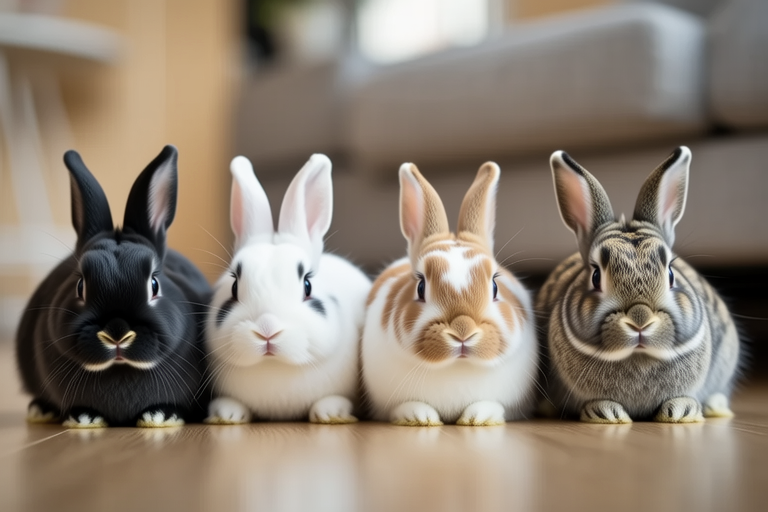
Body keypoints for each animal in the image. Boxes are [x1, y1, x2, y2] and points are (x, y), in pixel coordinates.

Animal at [15, 145, 212, 428]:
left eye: (154, 285)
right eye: (80, 286)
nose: (117, 334)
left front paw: (162, 415)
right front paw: (84, 417)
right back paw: (41, 410)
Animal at [361, 162, 539, 426]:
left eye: (495, 286)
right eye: (421, 287)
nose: (462, 331)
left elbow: (492, 405)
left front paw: (479, 417)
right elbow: (405, 406)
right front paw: (419, 417)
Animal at [537, 146, 742, 423]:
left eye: (670, 274)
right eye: (595, 276)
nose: (640, 320)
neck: (639, 356)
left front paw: (682, 411)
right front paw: (606, 413)